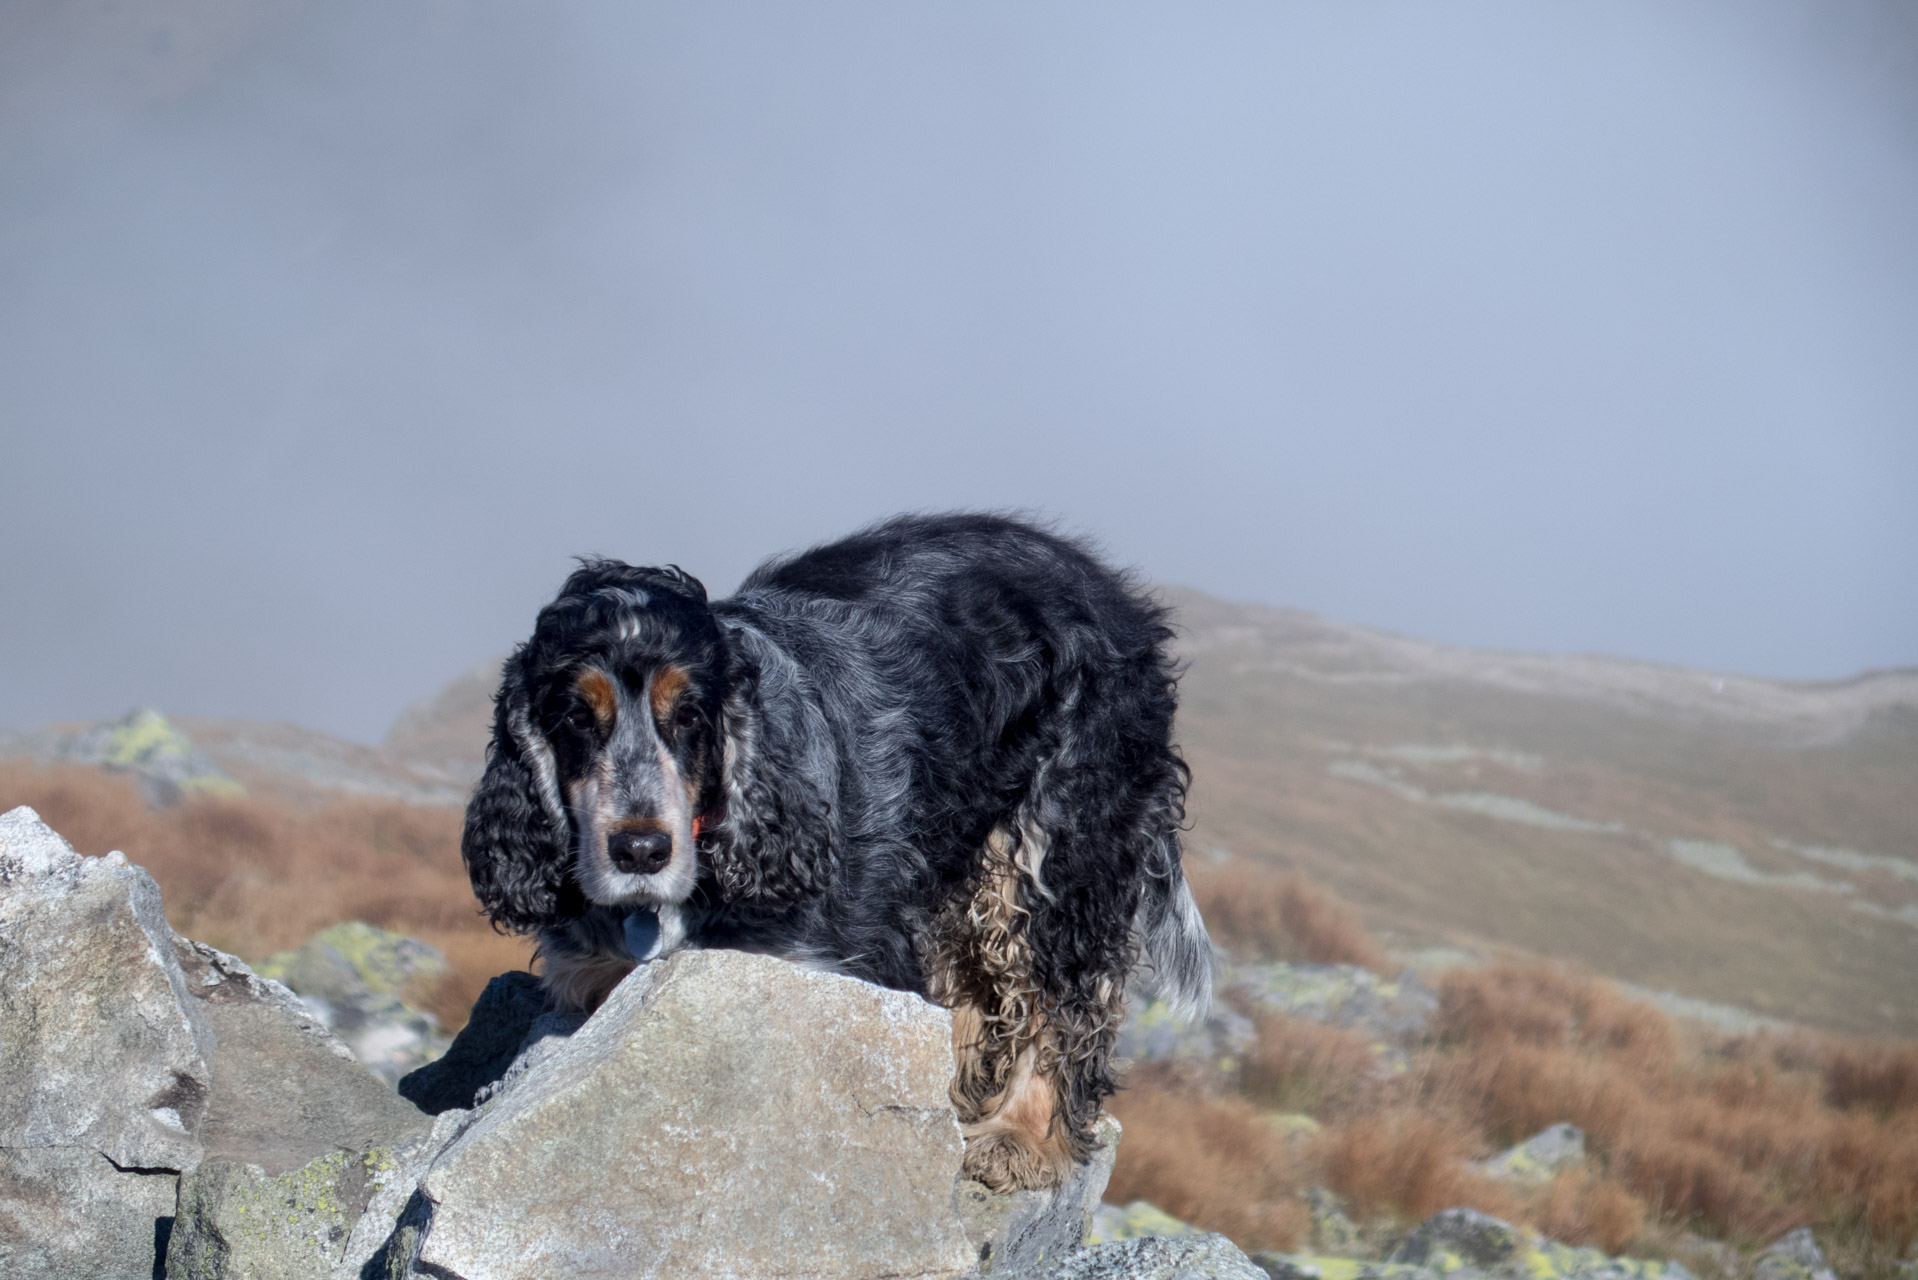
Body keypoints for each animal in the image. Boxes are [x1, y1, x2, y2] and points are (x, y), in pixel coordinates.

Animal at [460, 510, 1212, 1189]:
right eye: (573, 717)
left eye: (692, 715)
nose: (640, 850)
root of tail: (1105, 584)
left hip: (1059, 834)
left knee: (1060, 991)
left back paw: (1015, 1136)